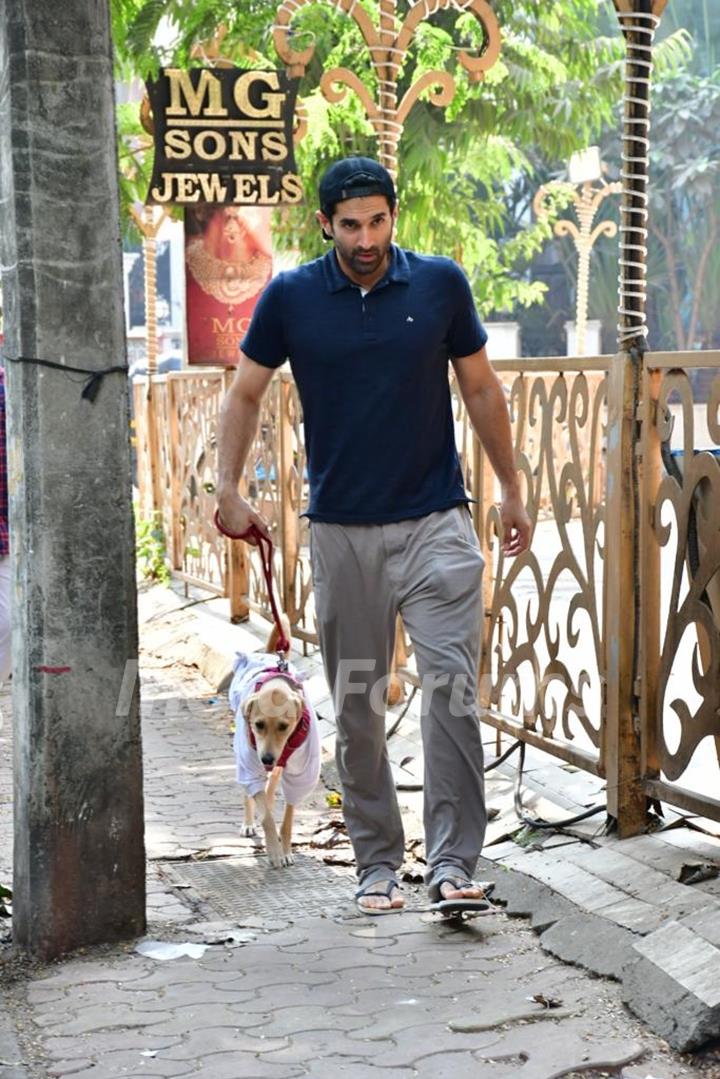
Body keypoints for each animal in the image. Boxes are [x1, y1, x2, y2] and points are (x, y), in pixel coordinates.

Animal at [231, 617, 321, 867]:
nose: (267, 758)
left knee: (271, 787)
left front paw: (286, 849)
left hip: (278, 768)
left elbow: (288, 816)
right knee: (252, 793)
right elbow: (266, 816)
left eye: (283, 726)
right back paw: (249, 822)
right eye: (258, 724)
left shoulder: (301, 773)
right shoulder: (251, 766)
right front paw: (274, 850)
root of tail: (273, 655)